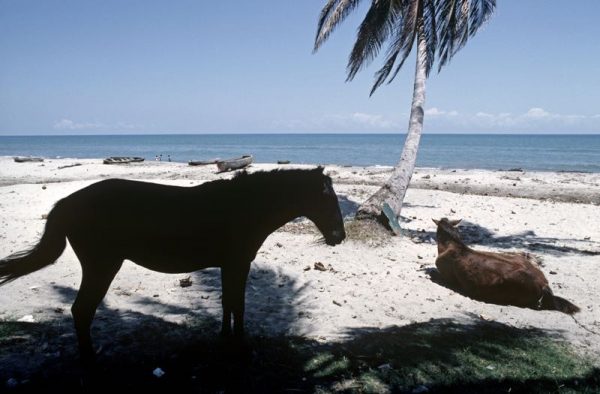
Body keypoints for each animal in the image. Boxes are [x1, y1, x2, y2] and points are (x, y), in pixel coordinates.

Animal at [1, 166, 346, 364]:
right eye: (327, 199)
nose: (339, 236)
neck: (244, 206)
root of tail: (67, 203)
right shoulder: (238, 263)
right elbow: (238, 303)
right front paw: (239, 345)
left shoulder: (228, 265)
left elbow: (227, 303)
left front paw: (224, 339)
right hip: (102, 267)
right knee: (81, 311)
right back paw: (90, 362)